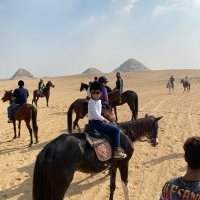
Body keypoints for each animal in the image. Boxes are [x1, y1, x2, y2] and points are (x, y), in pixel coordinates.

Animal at [32, 114, 162, 200]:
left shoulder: (113, 166)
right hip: (60, 185)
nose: (156, 143)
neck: (126, 133)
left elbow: (112, 186)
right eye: (156, 127)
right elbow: (125, 186)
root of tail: (49, 149)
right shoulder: (124, 163)